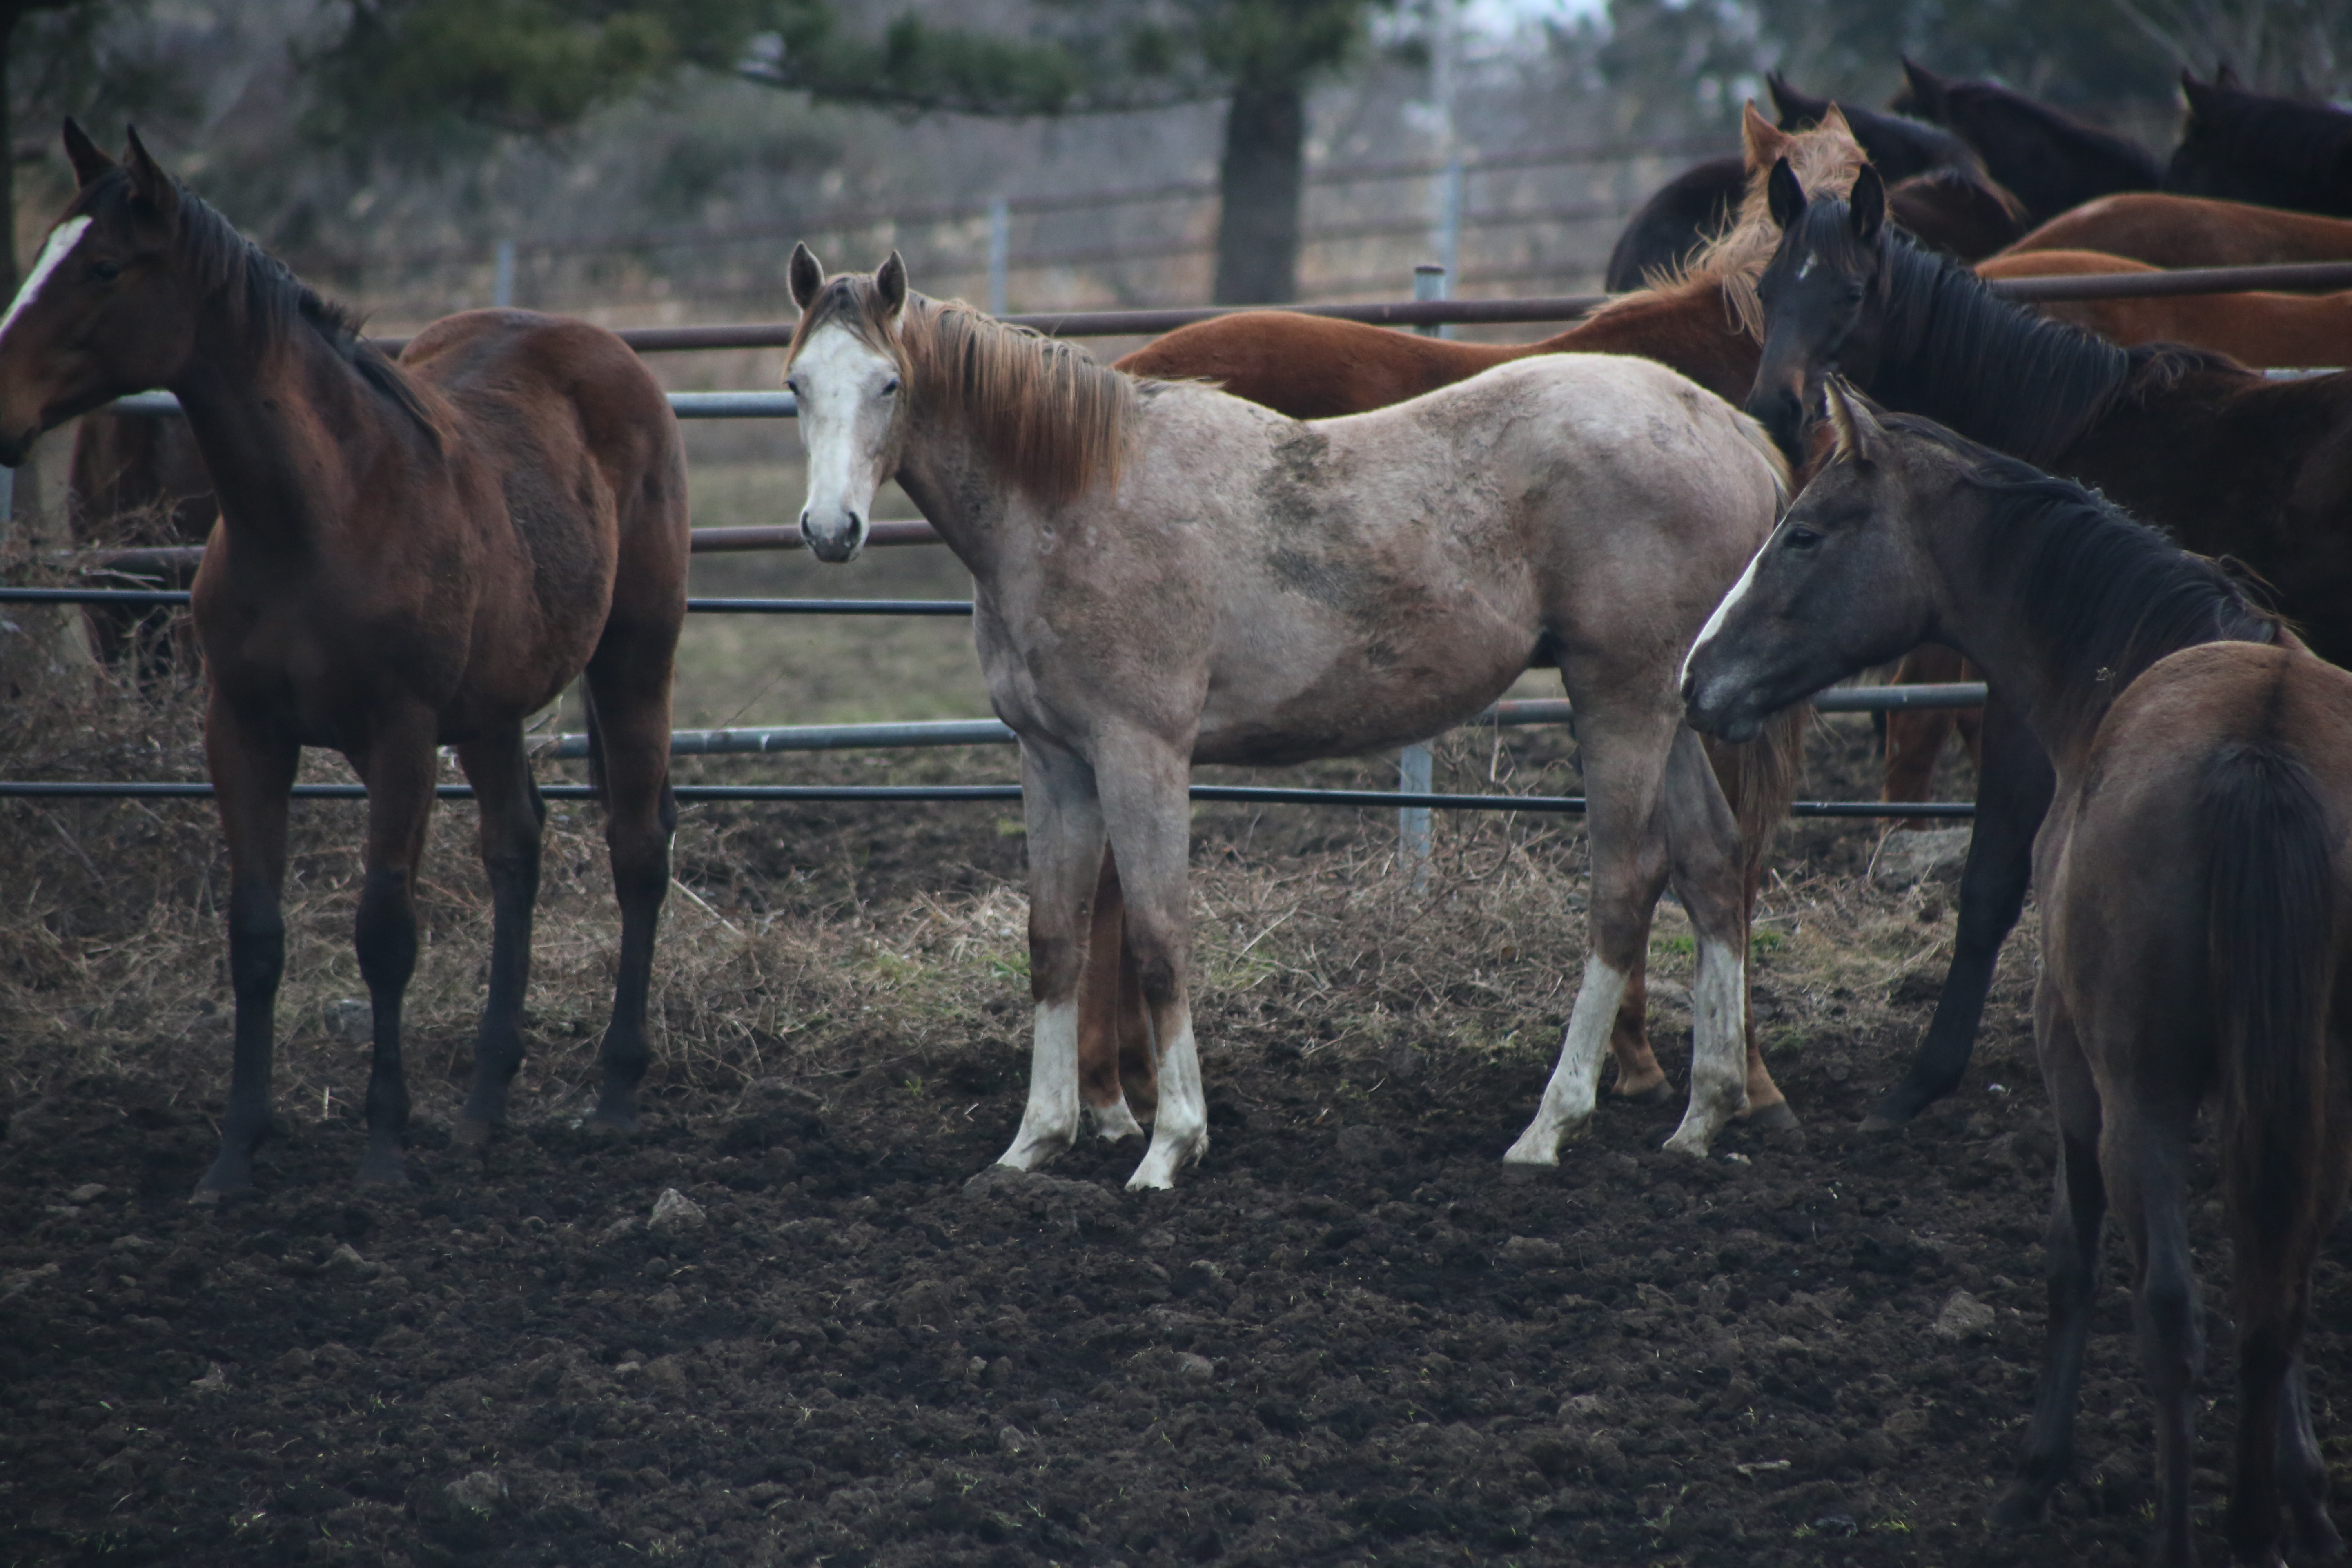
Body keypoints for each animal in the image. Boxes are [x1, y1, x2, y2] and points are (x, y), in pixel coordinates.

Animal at [0, 122, 696, 1194]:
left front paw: (381, 1152)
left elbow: (384, 933)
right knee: (516, 846)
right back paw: (483, 1104)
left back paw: (615, 1092)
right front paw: (235, 1153)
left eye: (105, 266)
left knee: (636, 844)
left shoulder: (399, 737)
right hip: (492, 707)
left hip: (633, 659)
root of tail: (605, 348)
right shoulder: (241, 733)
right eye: (42, 252)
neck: (321, 512)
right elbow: (255, 936)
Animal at [781, 245, 1787, 1185]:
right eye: (796, 384)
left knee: (1624, 886)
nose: (830, 531)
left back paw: (1550, 1127)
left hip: (1618, 697)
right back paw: (1706, 1114)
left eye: (888, 383)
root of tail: (1728, 430)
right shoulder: (1053, 759)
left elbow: (1157, 938)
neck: (1073, 500)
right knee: (1710, 866)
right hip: (1664, 708)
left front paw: (1170, 1147)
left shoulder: (1140, 753)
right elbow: (1054, 942)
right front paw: (1034, 1143)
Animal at [1693, 381, 2352, 1568]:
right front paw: (2303, 1499)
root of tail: (2259, 744)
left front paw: (2036, 1475)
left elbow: (2069, 1260)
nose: (1692, 678)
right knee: (2276, 1292)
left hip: (2138, 1095)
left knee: (2170, 1310)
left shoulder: (2069, 1059)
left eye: (1802, 532)